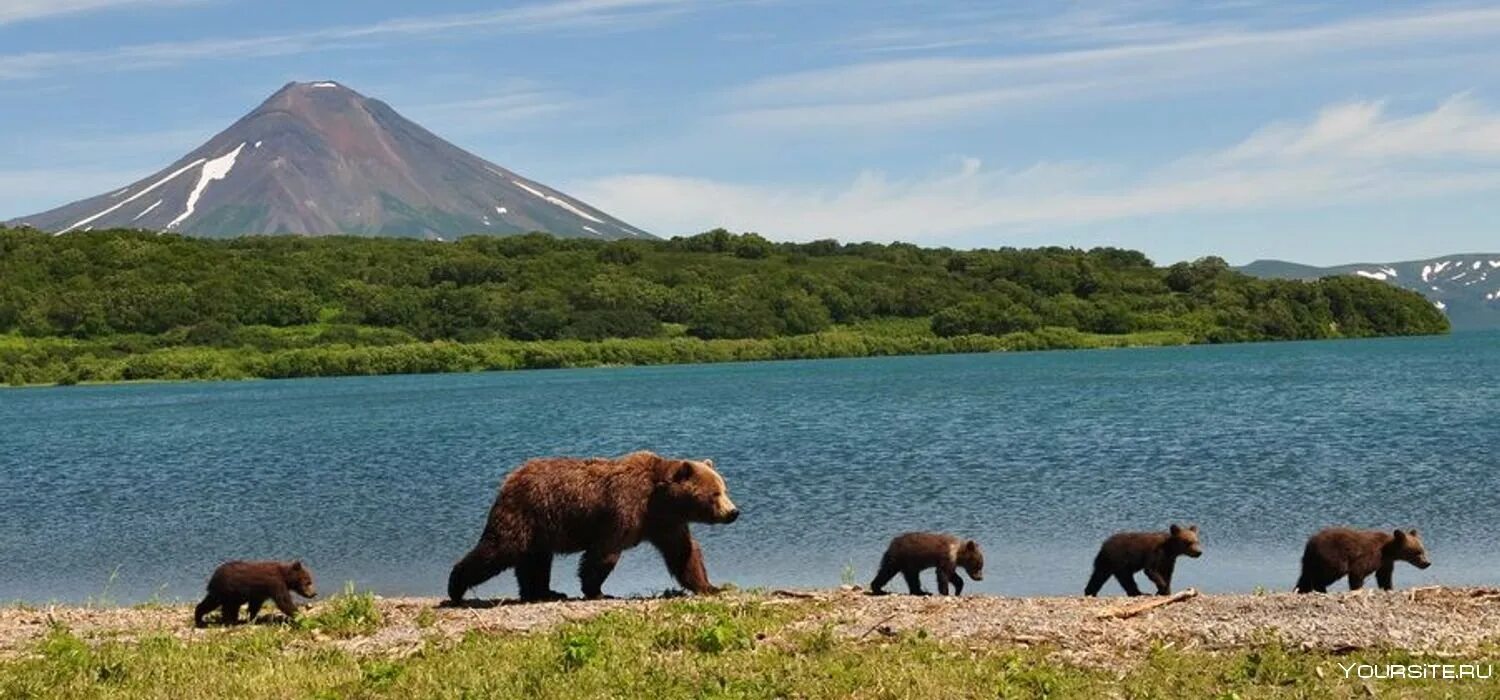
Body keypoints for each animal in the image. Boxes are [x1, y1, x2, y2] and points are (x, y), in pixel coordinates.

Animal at [444, 452, 738, 605]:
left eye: (724, 489)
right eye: (714, 493)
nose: (734, 512)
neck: (659, 499)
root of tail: (509, 479)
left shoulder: (665, 523)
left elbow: (684, 553)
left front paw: (710, 586)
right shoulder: (624, 509)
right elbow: (604, 553)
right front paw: (596, 590)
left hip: (540, 526)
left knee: (535, 561)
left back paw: (543, 592)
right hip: (526, 513)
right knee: (499, 550)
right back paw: (455, 588)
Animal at [1290, 527, 1428, 593]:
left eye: (1423, 550)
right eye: (1418, 552)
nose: (1427, 563)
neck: (1388, 551)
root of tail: (1309, 543)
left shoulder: (1386, 562)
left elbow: (1384, 576)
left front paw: (1389, 588)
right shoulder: (1371, 555)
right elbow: (1358, 572)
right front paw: (1357, 588)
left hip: (1311, 560)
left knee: (1305, 576)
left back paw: (1301, 590)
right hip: (1332, 557)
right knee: (1328, 574)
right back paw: (1321, 589)